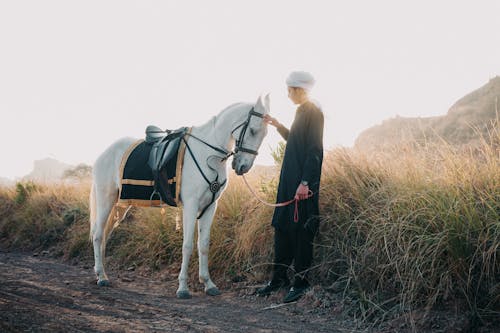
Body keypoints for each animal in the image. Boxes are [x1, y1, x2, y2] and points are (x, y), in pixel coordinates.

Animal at [90, 94, 270, 298]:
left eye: (265, 134)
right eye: (253, 130)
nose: (243, 166)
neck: (208, 154)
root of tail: (103, 154)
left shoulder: (210, 206)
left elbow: (203, 245)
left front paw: (208, 283)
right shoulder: (191, 206)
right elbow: (188, 246)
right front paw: (183, 288)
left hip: (119, 205)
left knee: (105, 236)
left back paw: (102, 272)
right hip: (105, 199)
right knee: (98, 235)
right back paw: (102, 277)